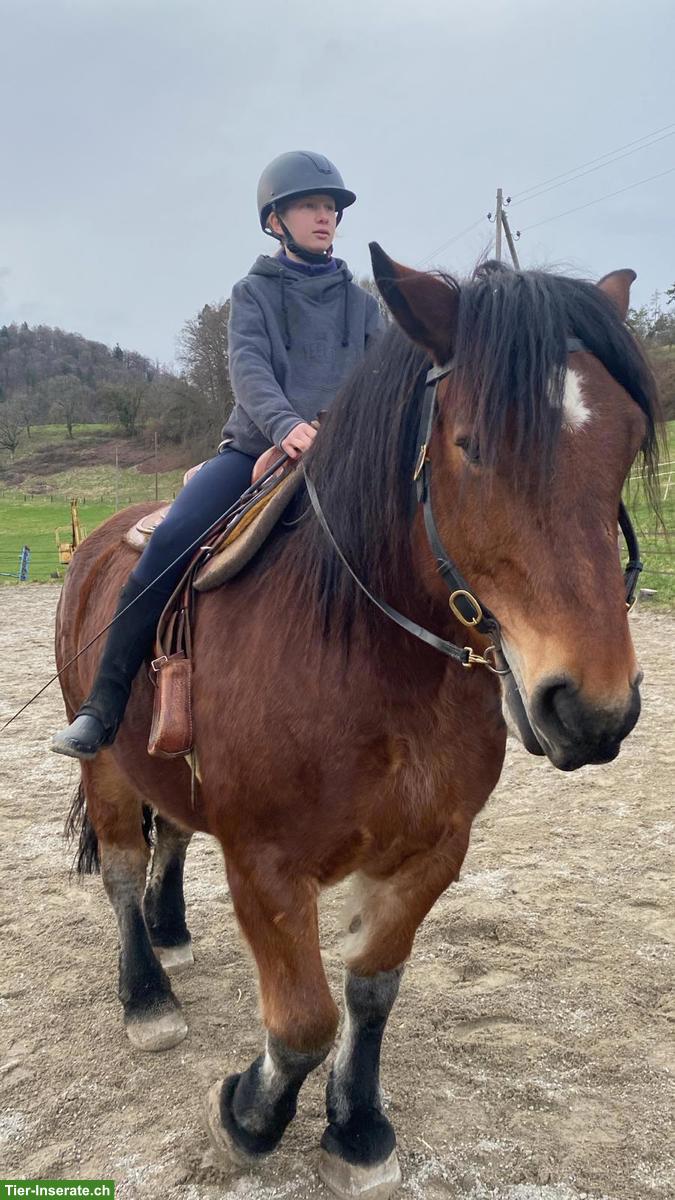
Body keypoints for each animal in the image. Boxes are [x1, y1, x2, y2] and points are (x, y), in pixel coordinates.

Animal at [57, 246, 660, 1199]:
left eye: (628, 444)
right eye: (469, 444)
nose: (592, 709)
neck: (370, 665)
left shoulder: (429, 852)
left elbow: (372, 989)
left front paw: (356, 1127)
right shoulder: (266, 863)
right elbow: (303, 1019)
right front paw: (248, 1117)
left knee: (172, 838)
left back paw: (173, 932)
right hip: (106, 764)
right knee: (120, 869)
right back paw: (147, 996)